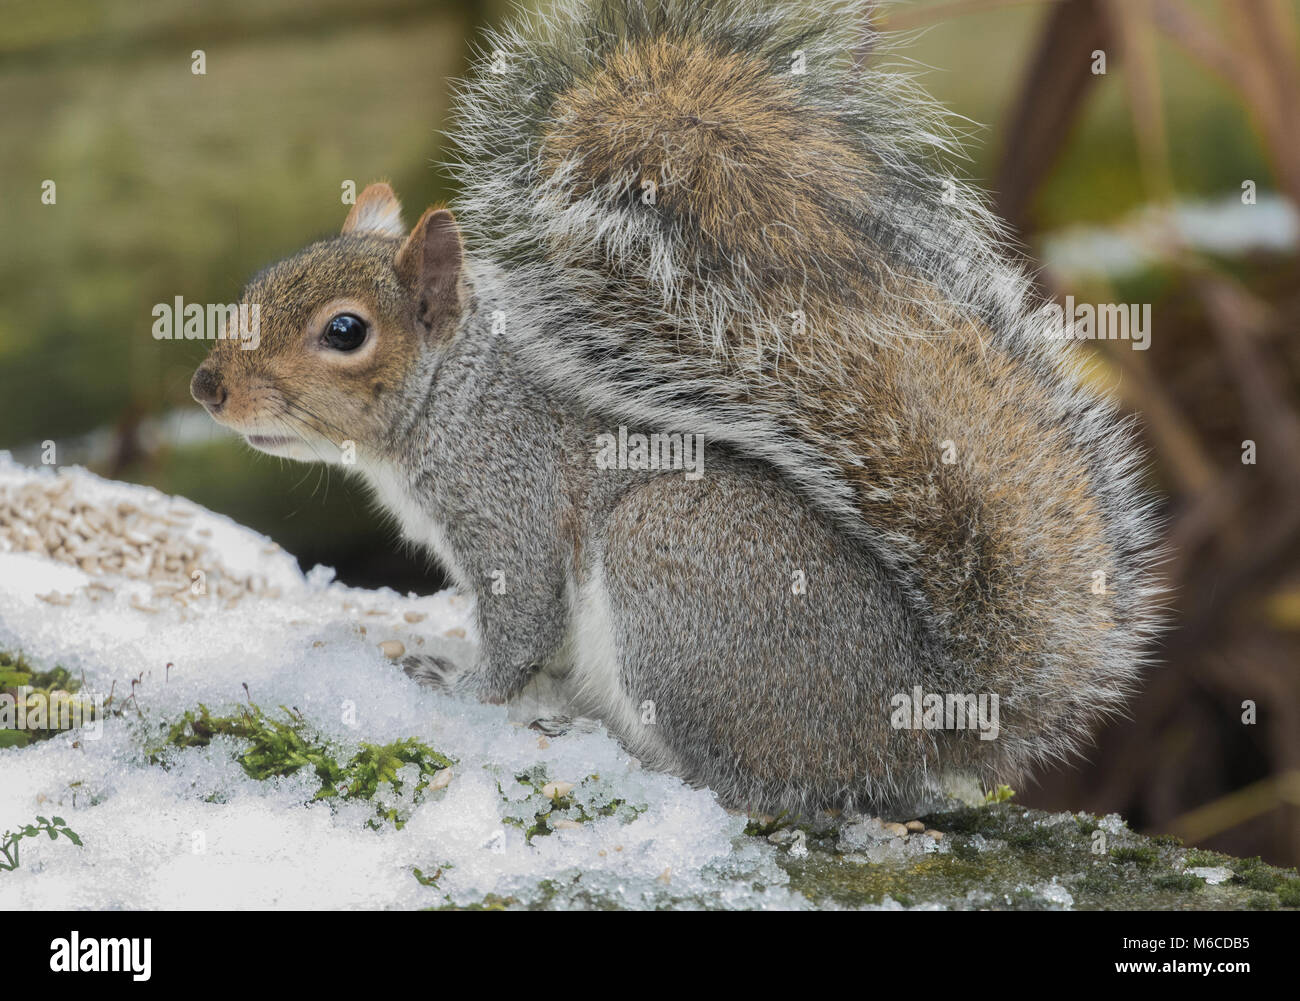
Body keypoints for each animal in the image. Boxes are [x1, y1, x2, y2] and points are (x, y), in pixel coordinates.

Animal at [188, 0, 1164, 811]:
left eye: (345, 331)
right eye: (260, 282)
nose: (208, 386)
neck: (457, 397)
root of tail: (919, 725)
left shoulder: (510, 505)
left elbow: (521, 626)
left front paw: (462, 693)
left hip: (667, 566)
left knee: (745, 784)